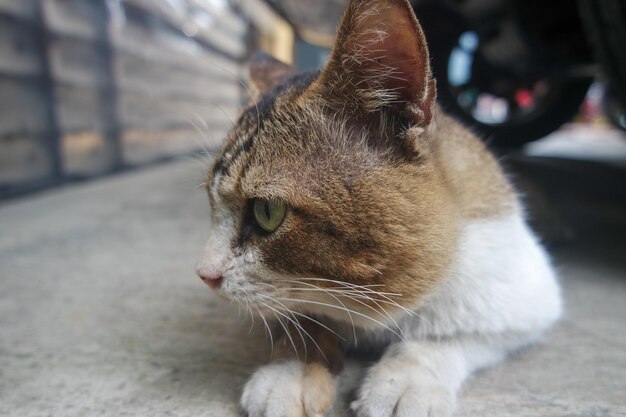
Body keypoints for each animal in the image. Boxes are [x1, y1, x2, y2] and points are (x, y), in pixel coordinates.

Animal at [193, 1, 560, 414]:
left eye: (267, 212)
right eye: (211, 202)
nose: (204, 275)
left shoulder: (522, 296)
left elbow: (448, 336)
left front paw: (407, 381)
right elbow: (299, 316)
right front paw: (294, 369)